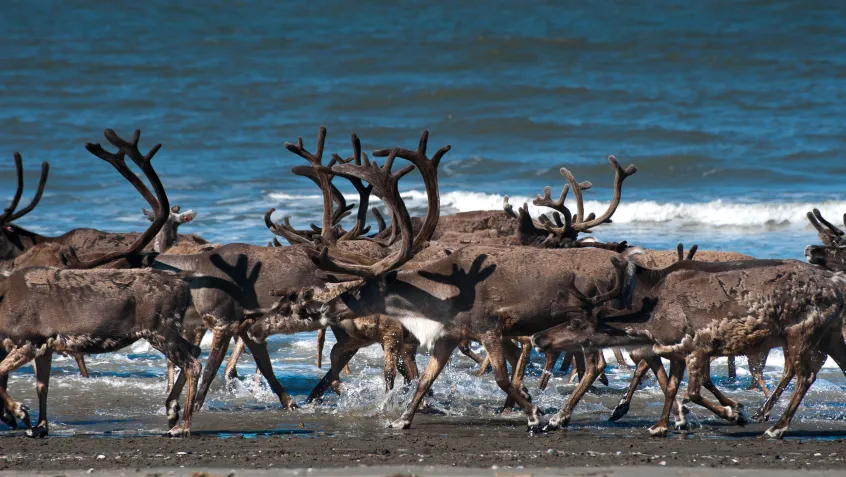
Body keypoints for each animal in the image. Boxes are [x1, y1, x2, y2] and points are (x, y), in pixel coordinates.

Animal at [0, 129, 203, 438]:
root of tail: (183, 285)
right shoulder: (44, 344)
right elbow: (41, 385)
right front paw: (39, 425)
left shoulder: (28, 339)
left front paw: (19, 412)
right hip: (166, 329)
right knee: (193, 352)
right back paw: (171, 409)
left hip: (160, 328)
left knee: (193, 362)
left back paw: (182, 425)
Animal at [532, 251, 846, 438]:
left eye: (575, 323)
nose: (538, 337)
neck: (651, 322)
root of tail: (835, 286)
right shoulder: (677, 353)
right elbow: (672, 387)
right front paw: (661, 424)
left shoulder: (698, 349)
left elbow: (692, 391)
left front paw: (734, 413)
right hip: (830, 334)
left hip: (801, 333)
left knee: (805, 376)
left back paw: (777, 427)